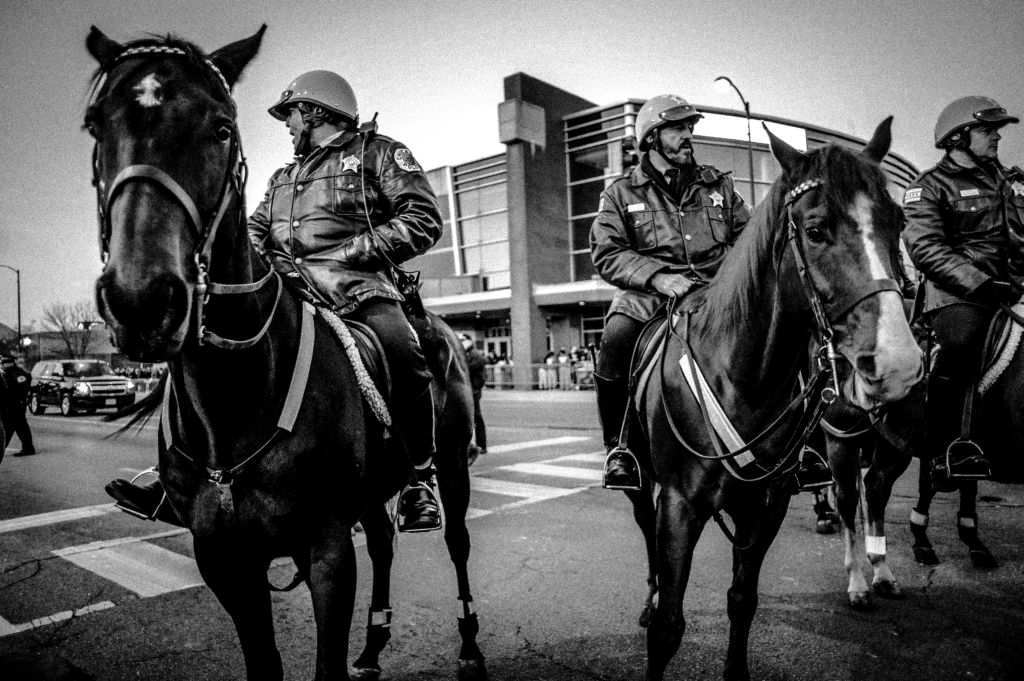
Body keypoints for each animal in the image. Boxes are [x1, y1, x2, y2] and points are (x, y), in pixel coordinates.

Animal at [86, 26, 485, 679]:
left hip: (450, 464)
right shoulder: (223, 560)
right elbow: (264, 661)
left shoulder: (325, 550)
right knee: (383, 543)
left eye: (223, 127)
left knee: (456, 544)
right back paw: (373, 646)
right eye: (95, 123)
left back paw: (469, 644)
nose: (142, 298)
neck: (235, 400)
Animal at [618, 119, 925, 675]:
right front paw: (658, 613)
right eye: (816, 230)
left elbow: (743, 601)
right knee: (645, 531)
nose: (898, 363)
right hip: (641, 481)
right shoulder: (679, 505)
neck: (741, 380)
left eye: (897, 223)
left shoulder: (766, 506)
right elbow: (669, 625)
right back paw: (647, 598)